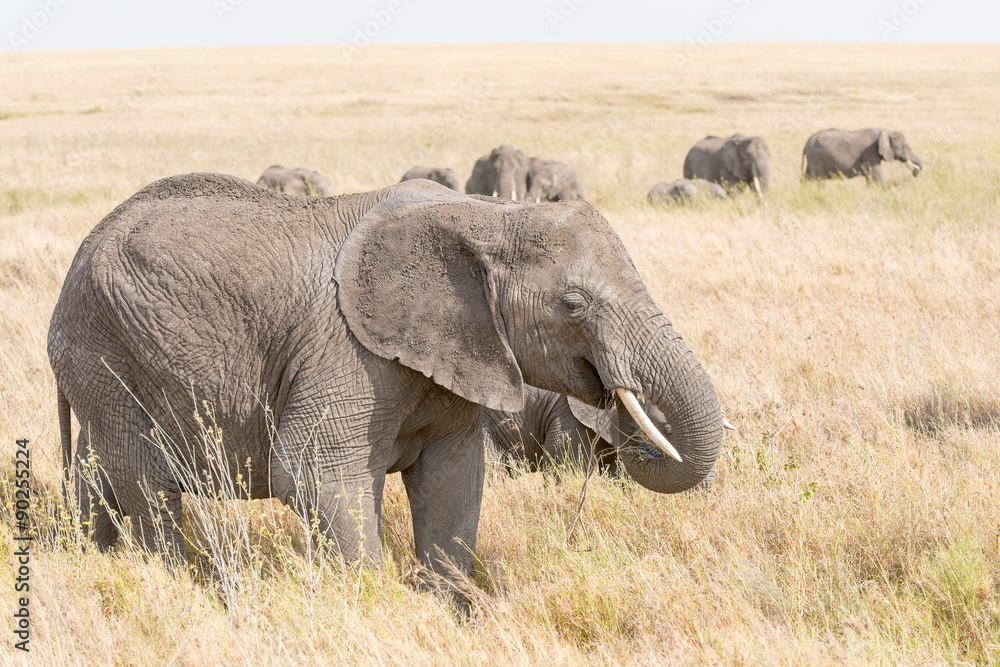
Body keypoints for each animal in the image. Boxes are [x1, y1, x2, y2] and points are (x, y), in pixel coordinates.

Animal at [48, 174, 725, 596]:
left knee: (99, 472)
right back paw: (182, 583)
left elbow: (453, 482)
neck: (485, 216)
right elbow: (315, 474)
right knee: (148, 481)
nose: (621, 395)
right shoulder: (345, 352)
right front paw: (375, 606)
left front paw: (448, 610)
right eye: (574, 304)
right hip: (104, 349)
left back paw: (93, 563)